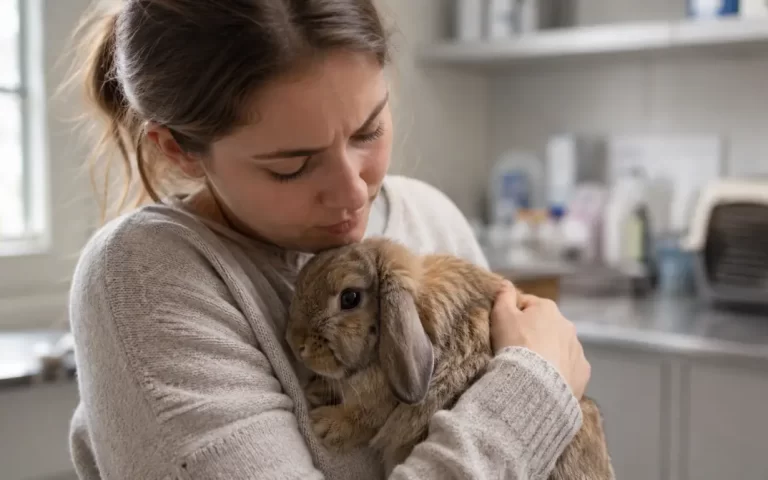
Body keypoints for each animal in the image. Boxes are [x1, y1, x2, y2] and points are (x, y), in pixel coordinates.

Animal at [286, 237, 615, 479]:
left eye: (350, 298)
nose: (295, 342)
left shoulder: (384, 403)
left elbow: (366, 416)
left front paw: (324, 425)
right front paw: (315, 392)